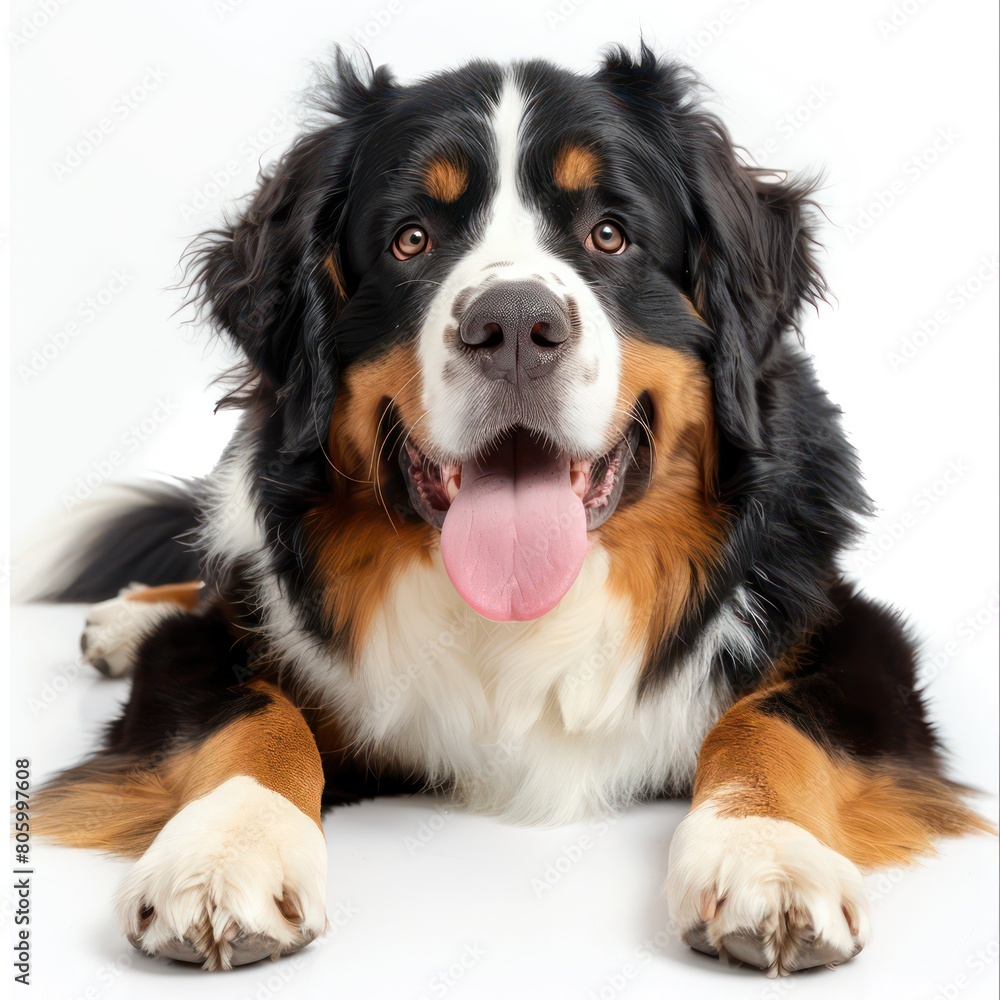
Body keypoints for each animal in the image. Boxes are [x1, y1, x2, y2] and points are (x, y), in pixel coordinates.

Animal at [33, 47, 992, 976]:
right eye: (410, 240)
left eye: (610, 233)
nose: (515, 325)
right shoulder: (225, 646)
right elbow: (249, 718)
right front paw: (224, 853)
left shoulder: (847, 630)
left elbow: (777, 723)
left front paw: (769, 856)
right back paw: (127, 619)